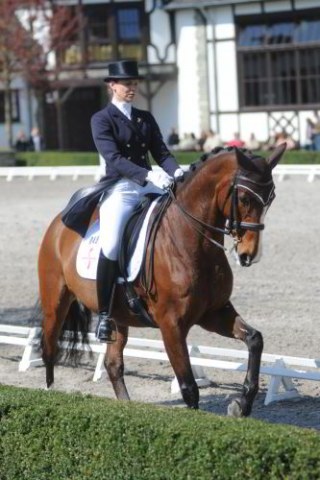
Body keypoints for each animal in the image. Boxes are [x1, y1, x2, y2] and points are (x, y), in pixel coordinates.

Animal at [37, 145, 284, 416]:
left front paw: (242, 403)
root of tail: (59, 222)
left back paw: (127, 408)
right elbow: (188, 387)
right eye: (244, 198)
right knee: (49, 347)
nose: (249, 254)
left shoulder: (214, 312)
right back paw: (49, 394)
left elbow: (255, 339)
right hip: (55, 303)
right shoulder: (171, 325)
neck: (192, 241)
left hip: (118, 317)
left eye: (270, 198)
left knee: (113, 364)